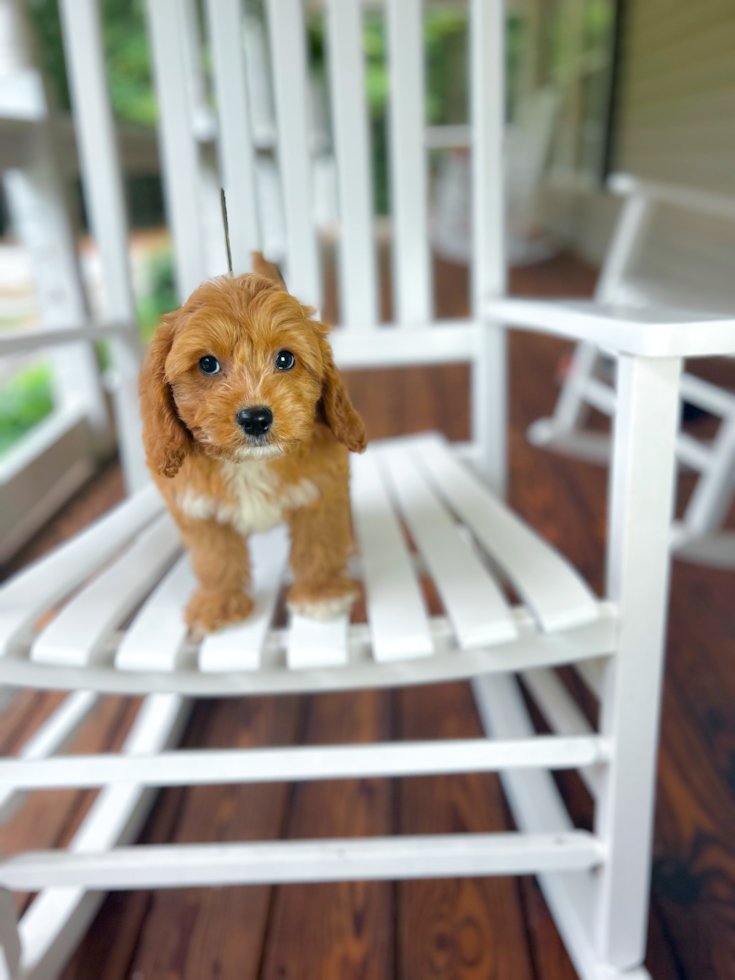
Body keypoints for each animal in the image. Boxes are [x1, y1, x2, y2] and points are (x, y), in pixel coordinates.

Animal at [139, 255, 368, 636]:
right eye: (207, 363)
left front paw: (320, 595)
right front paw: (219, 604)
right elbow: (215, 558)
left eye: (285, 359)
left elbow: (319, 545)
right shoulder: (197, 509)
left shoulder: (321, 493)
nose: (256, 418)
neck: (249, 464)